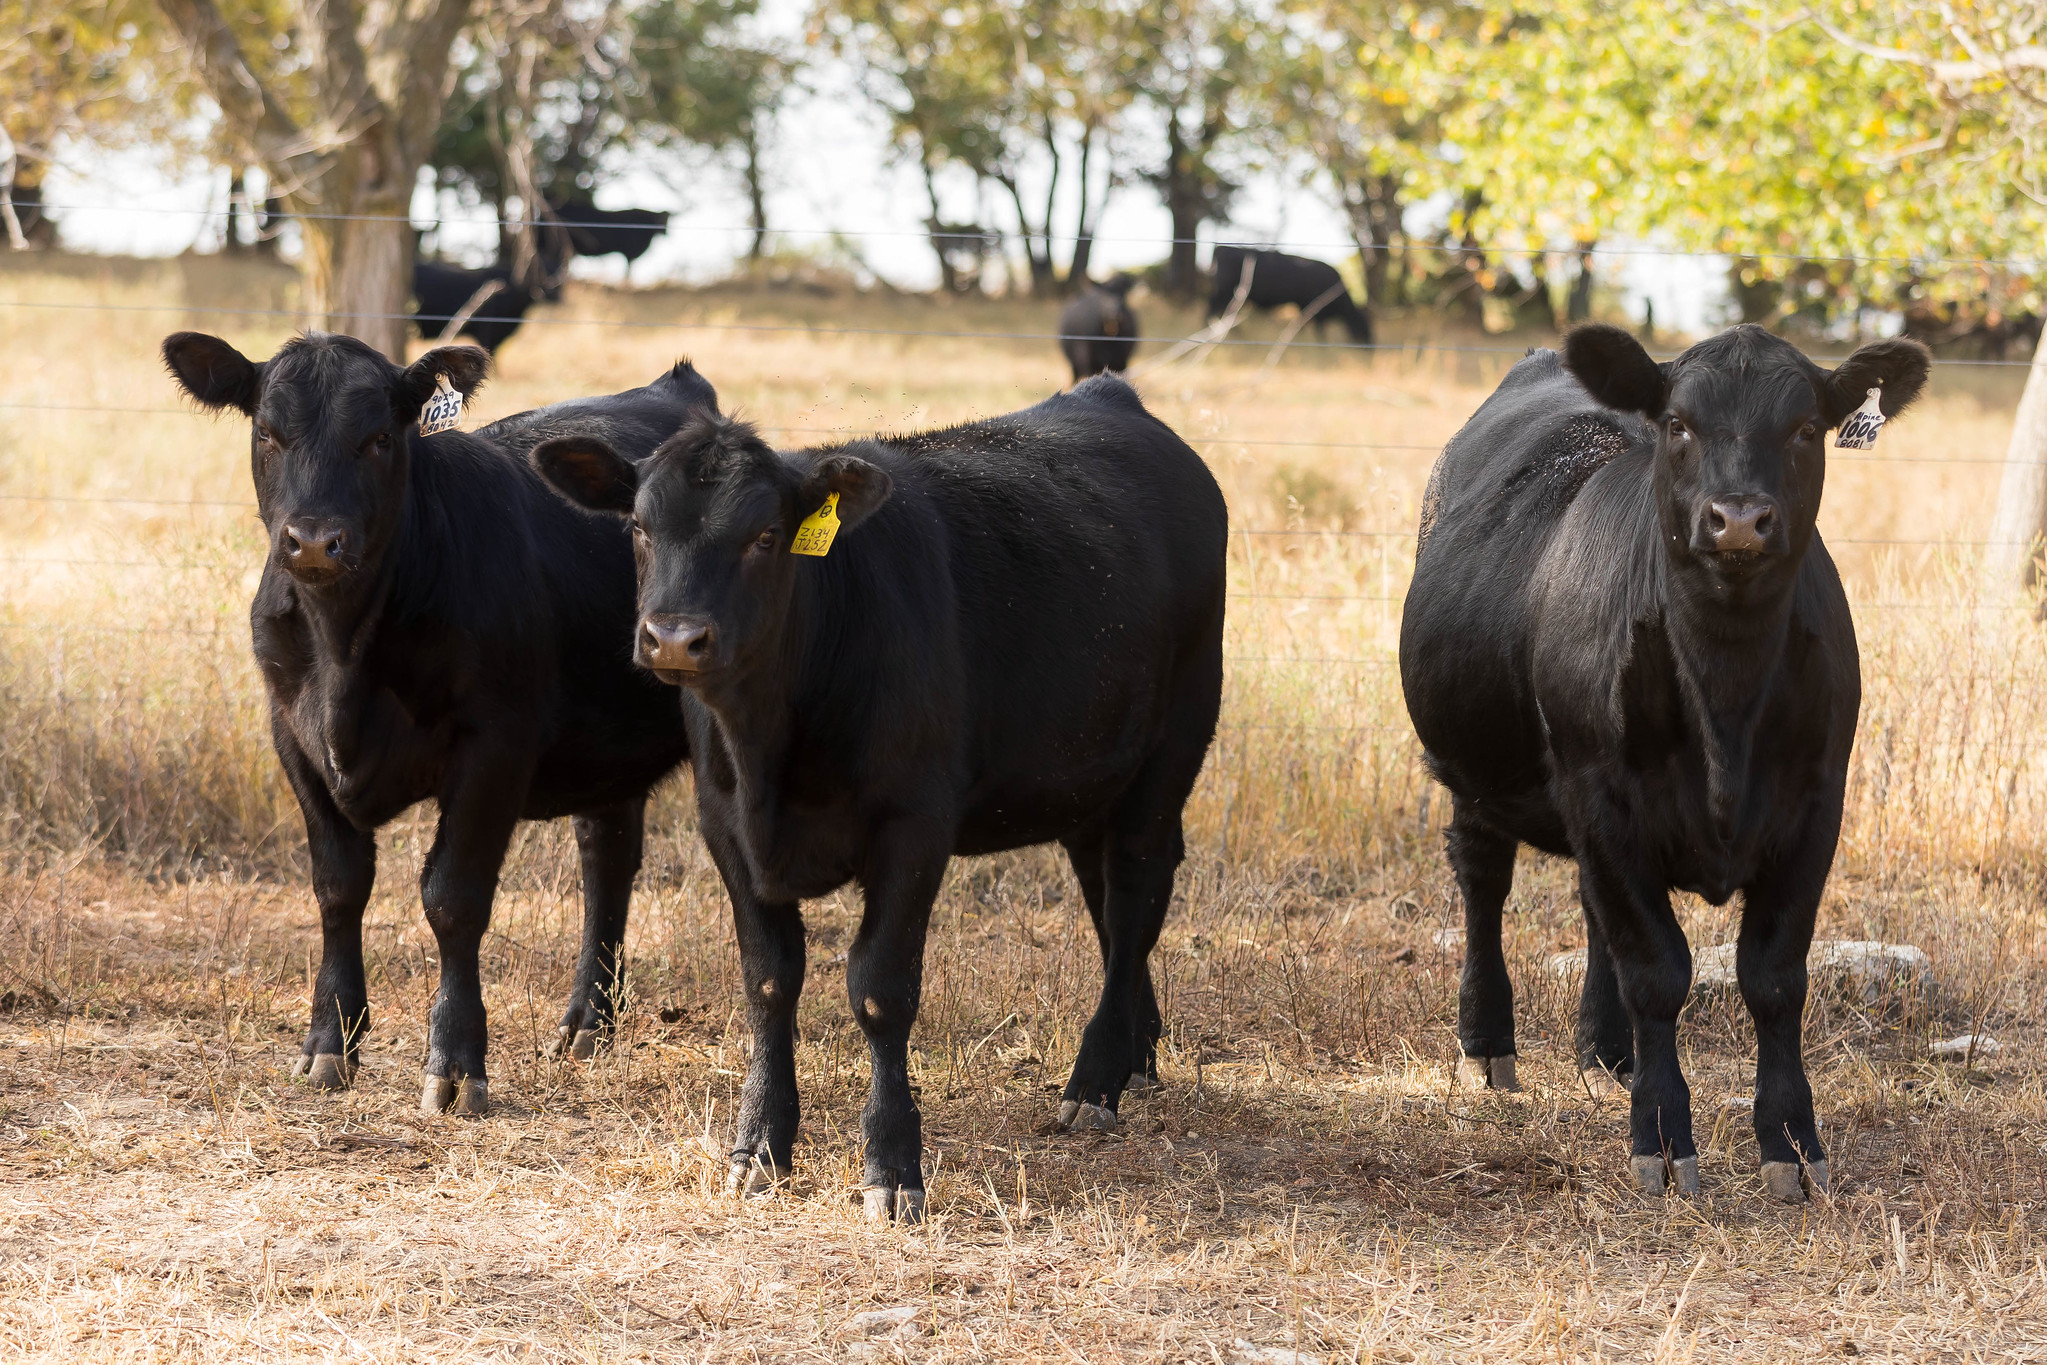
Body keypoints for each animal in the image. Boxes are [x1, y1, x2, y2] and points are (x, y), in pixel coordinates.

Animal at [157, 333, 712, 1121]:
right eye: (267, 432)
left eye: (381, 438)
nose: (315, 542)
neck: (344, 654)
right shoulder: (291, 735)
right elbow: (338, 885)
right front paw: (328, 1042)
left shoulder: (494, 745)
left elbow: (452, 898)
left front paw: (455, 1062)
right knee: (606, 857)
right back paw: (586, 1025)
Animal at [536, 376, 1220, 1227]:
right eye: (638, 527)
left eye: (767, 535)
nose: (673, 637)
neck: (771, 747)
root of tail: (1111, 396)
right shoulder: (724, 825)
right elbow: (768, 980)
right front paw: (759, 1145)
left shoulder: (913, 827)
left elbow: (879, 991)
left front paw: (892, 1164)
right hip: (1090, 775)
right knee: (1110, 902)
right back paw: (1135, 1055)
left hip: (1168, 755)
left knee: (1132, 901)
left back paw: (1094, 1081)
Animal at [1195, 245, 1375, 343]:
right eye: (1364, 330)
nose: (1370, 351)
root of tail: (1222, 248)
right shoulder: (1316, 311)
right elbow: (1317, 331)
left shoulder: (1305, 307)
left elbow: (1301, 325)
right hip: (1223, 291)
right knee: (1213, 308)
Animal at [1400, 325, 1924, 1203]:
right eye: (1680, 423)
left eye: (1805, 428)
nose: (1739, 518)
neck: (1725, 696)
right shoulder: (1599, 792)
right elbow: (1656, 969)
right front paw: (1660, 1135)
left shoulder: (1816, 804)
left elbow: (1773, 976)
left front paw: (1791, 1141)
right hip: (1476, 772)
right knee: (1482, 880)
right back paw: (1488, 1040)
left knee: (1588, 907)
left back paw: (1603, 1051)